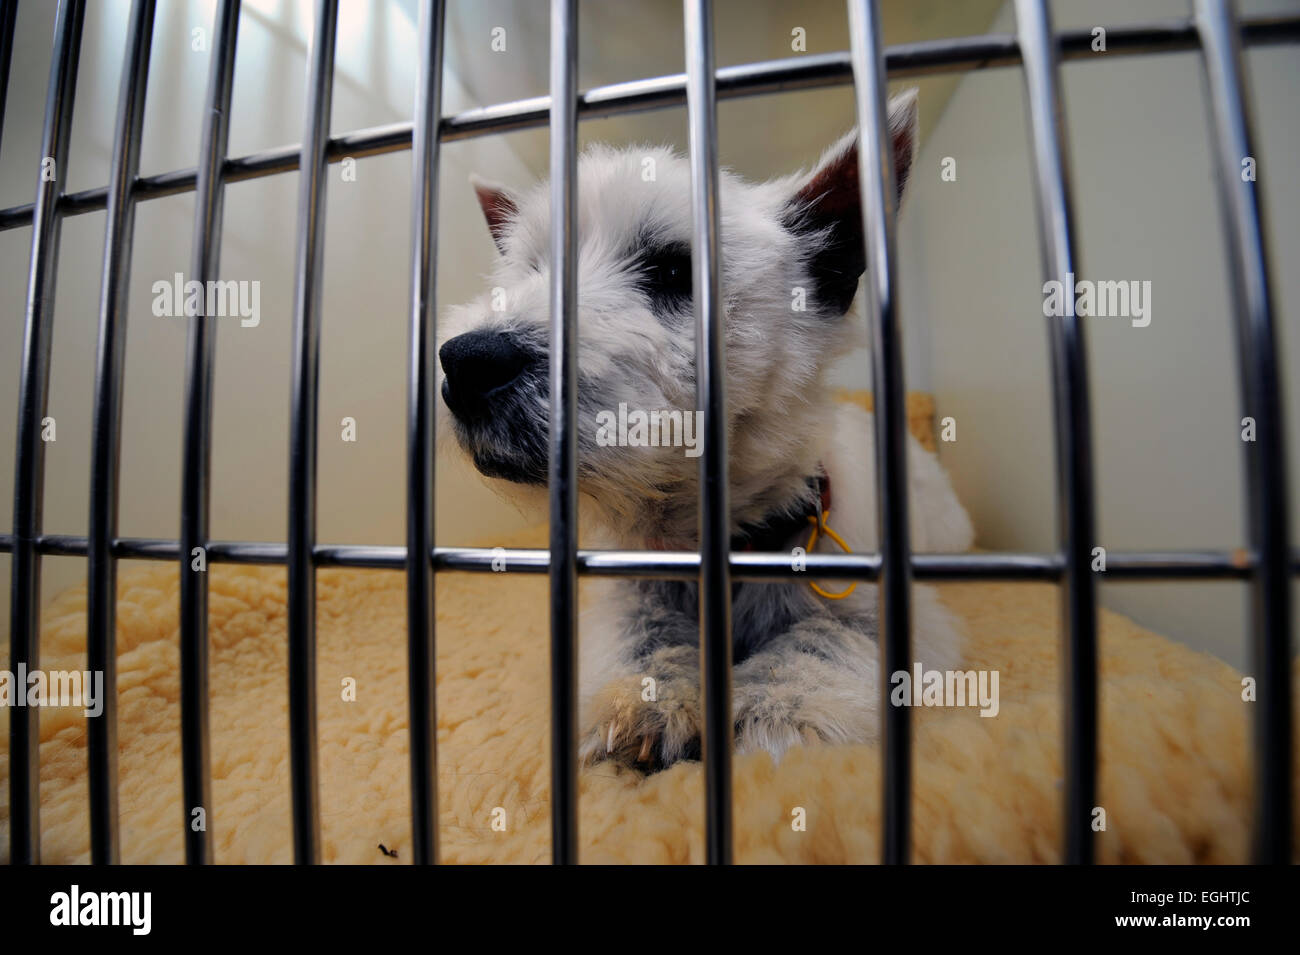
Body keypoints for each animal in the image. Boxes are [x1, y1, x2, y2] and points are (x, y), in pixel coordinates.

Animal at [439, 91, 977, 769]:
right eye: (531, 270)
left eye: (674, 272)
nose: (464, 362)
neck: (704, 538)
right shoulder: (627, 592)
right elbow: (639, 633)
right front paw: (646, 698)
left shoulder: (897, 611)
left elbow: (826, 633)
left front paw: (778, 710)